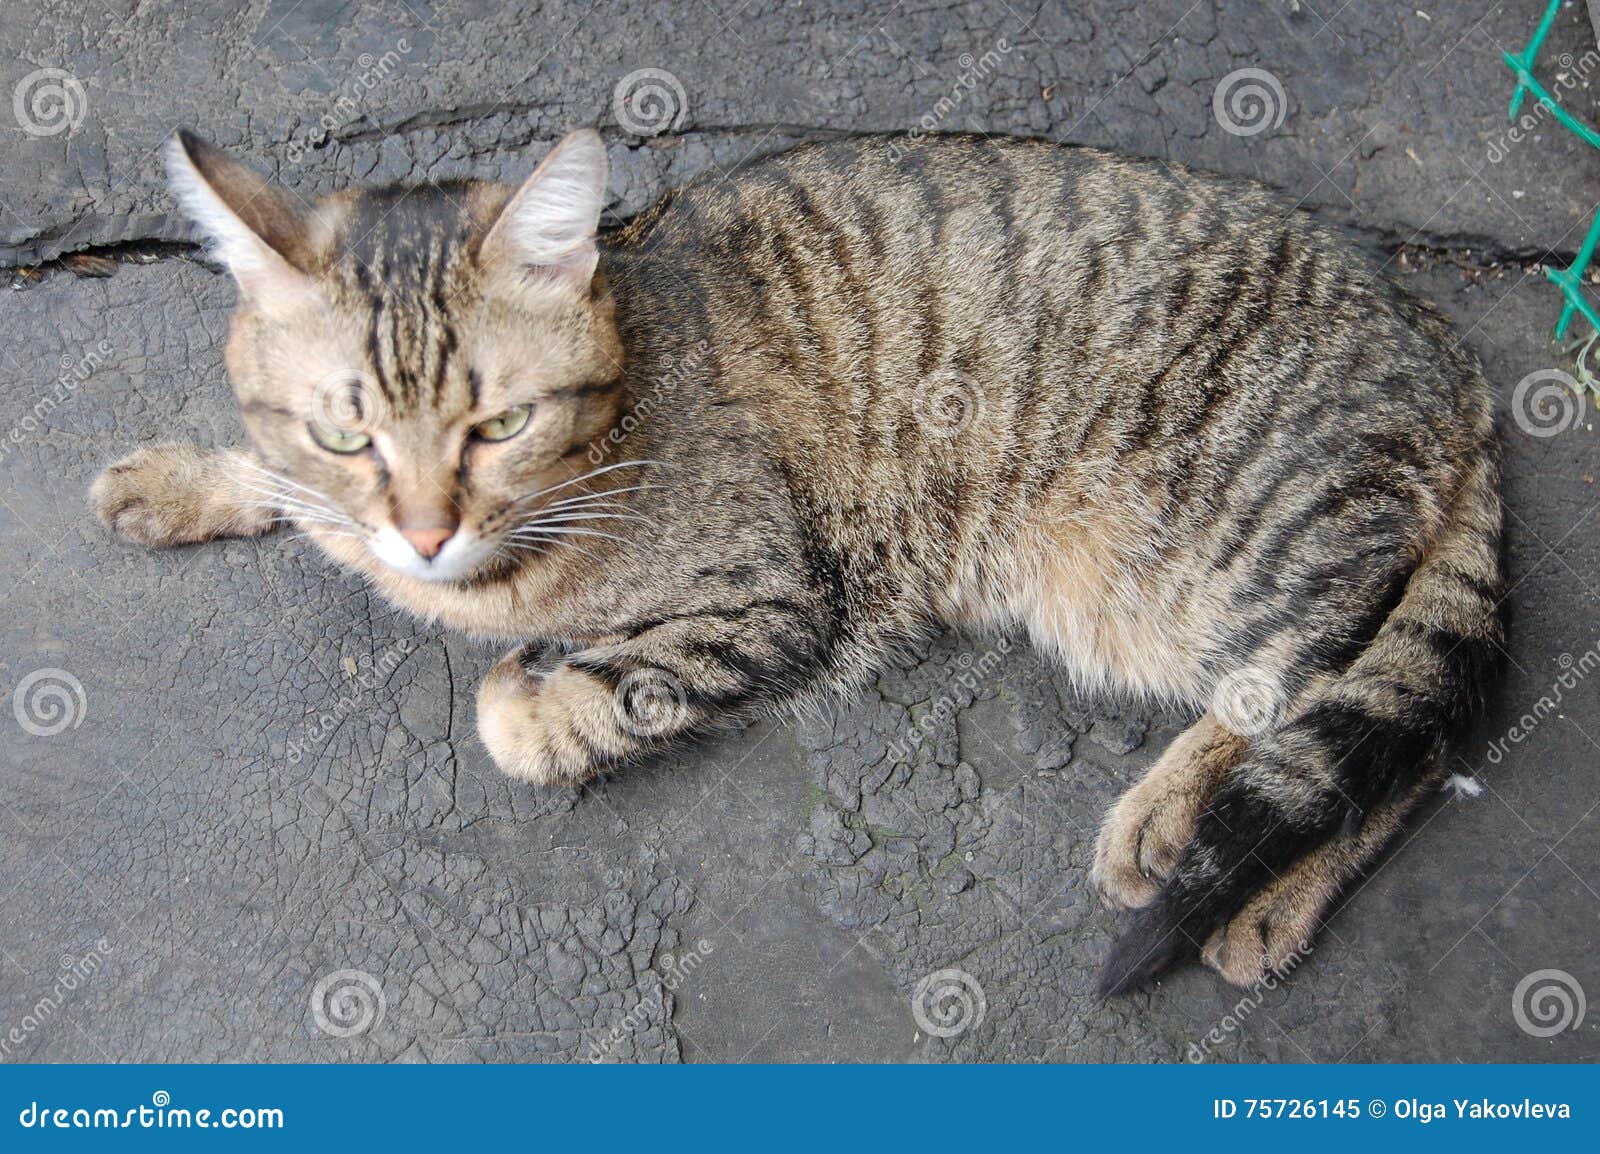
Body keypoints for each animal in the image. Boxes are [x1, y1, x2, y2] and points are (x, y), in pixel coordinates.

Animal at [93, 128, 1504, 992]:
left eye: (498, 424)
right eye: (348, 432)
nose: (428, 528)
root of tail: (1439, 341)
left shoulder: (769, 601)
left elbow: (548, 707)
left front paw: (522, 686)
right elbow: (289, 487)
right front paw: (186, 478)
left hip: (1215, 553)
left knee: (1373, 718)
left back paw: (1225, 862)